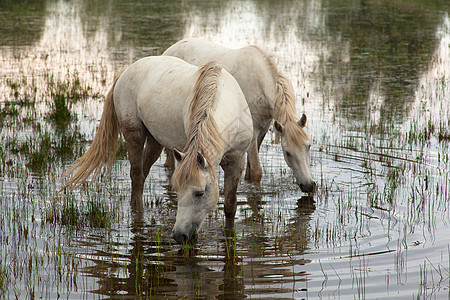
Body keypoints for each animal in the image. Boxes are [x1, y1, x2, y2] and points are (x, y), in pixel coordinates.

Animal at [60, 56, 253, 244]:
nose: (179, 236)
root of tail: (126, 71)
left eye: (199, 193)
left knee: (143, 173)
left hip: (155, 142)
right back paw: (138, 213)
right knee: (137, 175)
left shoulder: (236, 161)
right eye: (178, 190)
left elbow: (230, 206)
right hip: (134, 134)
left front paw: (229, 235)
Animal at [163, 38, 314, 192]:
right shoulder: (253, 131)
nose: (308, 185)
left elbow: (250, 168)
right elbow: (256, 171)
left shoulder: (263, 129)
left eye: (309, 146)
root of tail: (170, 49)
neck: (259, 82)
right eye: (287, 152)